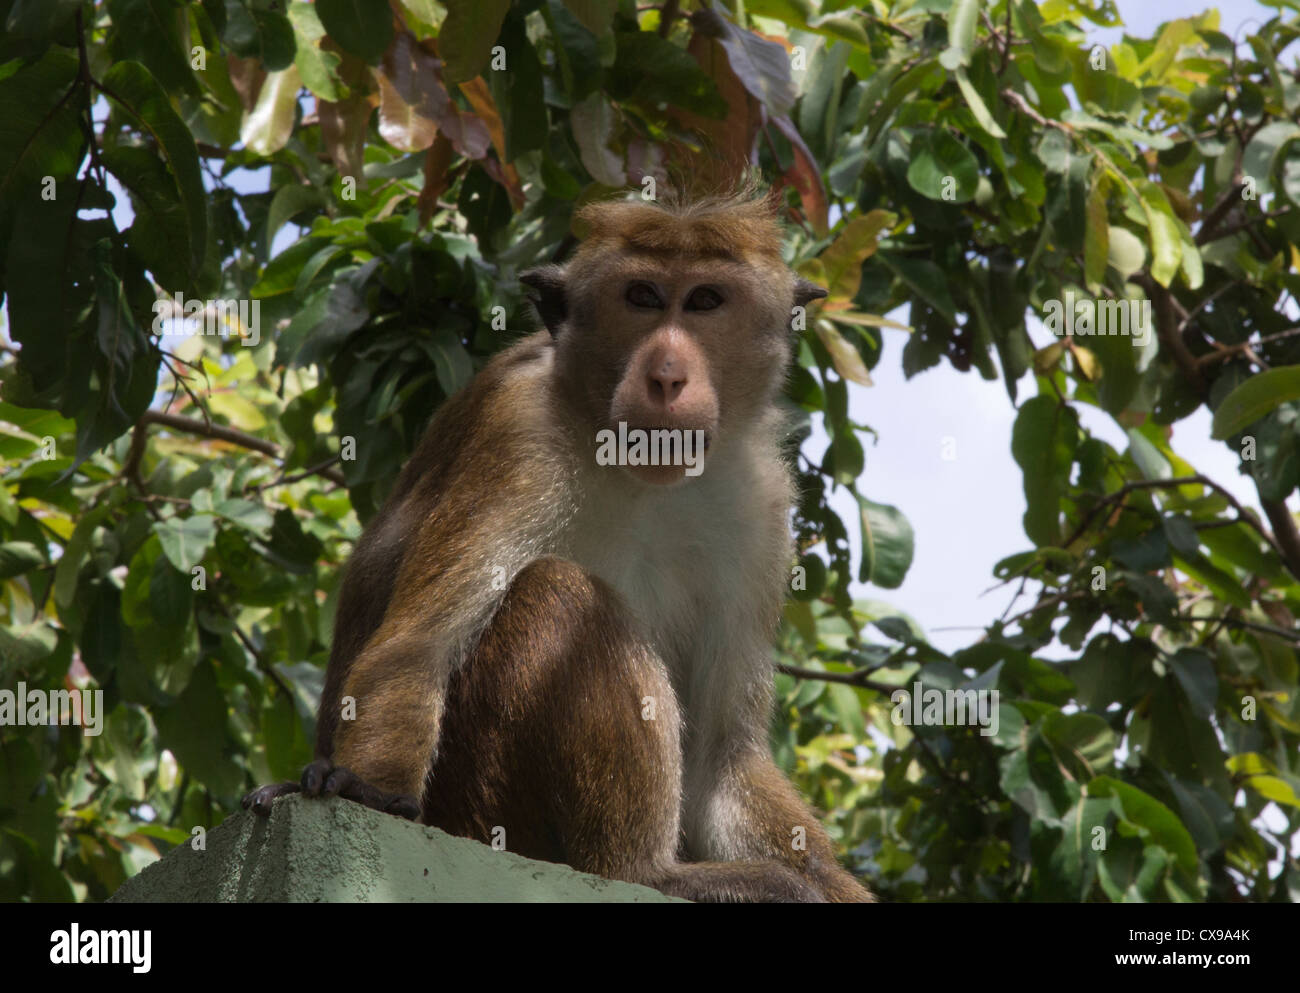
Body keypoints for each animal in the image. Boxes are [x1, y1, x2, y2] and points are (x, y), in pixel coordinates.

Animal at [244, 188, 873, 909]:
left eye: (706, 301)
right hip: (477, 801)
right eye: (642, 297)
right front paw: (363, 789)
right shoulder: (516, 429)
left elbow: (723, 755)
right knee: (555, 591)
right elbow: (415, 651)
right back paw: (648, 872)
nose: (666, 376)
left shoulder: (761, 502)